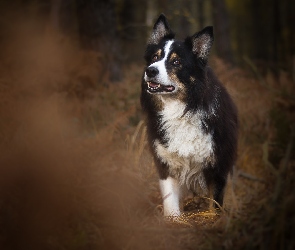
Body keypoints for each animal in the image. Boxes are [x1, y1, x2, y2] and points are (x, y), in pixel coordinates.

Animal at [140, 14, 239, 217]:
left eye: (176, 62)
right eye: (155, 57)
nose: (150, 70)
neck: (180, 109)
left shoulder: (218, 164)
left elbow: (214, 203)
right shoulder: (166, 161)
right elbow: (170, 200)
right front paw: (174, 220)